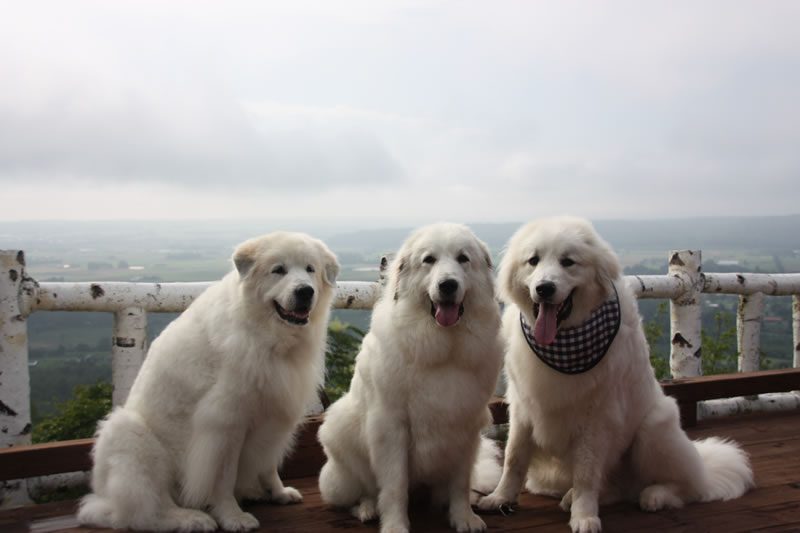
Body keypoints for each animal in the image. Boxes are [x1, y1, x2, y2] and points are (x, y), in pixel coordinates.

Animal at [75, 231, 338, 528]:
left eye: (310, 269)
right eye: (278, 270)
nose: (305, 291)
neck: (265, 334)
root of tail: (103, 500)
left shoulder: (273, 415)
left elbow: (268, 463)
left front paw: (278, 492)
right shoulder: (224, 424)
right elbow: (222, 478)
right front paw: (232, 516)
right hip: (130, 434)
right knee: (146, 511)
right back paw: (191, 519)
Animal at [318, 221, 500, 532]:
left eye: (463, 258)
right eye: (429, 260)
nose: (448, 285)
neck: (443, 347)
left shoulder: (466, 422)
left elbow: (461, 483)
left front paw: (463, 517)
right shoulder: (392, 426)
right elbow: (394, 487)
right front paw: (395, 525)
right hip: (339, 433)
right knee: (364, 490)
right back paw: (367, 508)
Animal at [482, 216, 756, 532]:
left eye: (568, 262)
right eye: (533, 261)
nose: (544, 288)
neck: (563, 342)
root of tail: (703, 465)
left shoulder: (596, 416)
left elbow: (587, 471)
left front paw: (584, 516)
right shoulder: (524, 406)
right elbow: (514, 457)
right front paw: (500, 498)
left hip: (653, 429)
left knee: (687, 487)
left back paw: (654, 495)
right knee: (614, 488)